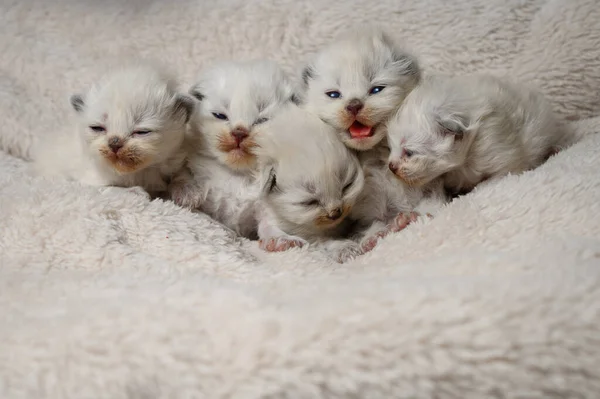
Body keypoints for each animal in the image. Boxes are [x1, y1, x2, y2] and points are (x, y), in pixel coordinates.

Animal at [31, 63, 196, 198]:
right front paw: (135, 192)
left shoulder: (174, 159)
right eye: (97, 128)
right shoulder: (89, 180)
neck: (137, 172)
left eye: (142, 131)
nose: (115, 143)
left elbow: (182, 173)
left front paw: (187, 191)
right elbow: (111, 188)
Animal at [169, 59, 296, 241]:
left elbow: (270, 223)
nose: (239, 133)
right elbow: (201, 211)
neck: (237, 173)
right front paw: (188, 193)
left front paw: (283, 239)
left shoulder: (264, 202)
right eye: (220, 116)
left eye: (262, 120)